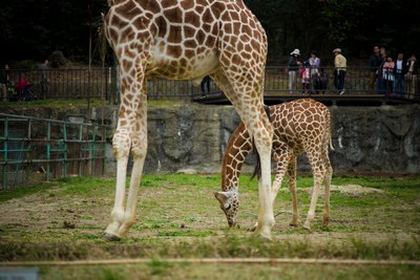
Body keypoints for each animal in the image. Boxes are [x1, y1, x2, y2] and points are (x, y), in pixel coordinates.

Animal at [104, 0, 276, 241]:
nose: (232, 224)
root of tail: (260, 31)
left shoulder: (131, 51)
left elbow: (121, 140)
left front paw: (114, 224)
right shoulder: (142, 69)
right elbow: (140, 145)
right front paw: (126, 224)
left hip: (242, 67)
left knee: (262, 131)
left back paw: (267, 228)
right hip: (227, 72)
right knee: (259, 128)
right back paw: (260, 225)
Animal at [215, 98, 334, 230]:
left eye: (227, 206)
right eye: (221, 208)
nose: (232, 224)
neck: (248, 134)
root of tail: (325, 112)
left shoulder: (284, 152)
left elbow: (275, 185)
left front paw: (259, 223)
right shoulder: (290, 155)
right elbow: (289, 184)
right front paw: (294, 221)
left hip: (311, 142)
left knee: (319, 172)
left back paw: (308, 222)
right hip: (323, 143)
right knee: (329, 170)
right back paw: (325, 220)